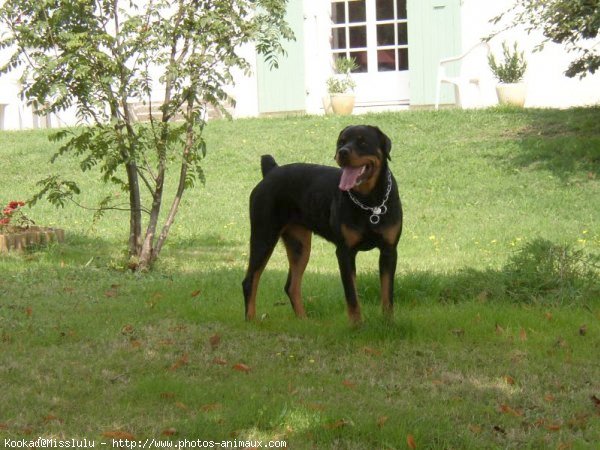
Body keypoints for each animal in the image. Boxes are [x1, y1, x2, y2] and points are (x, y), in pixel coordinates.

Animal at [240, 126, 404, 324]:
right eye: (341, 142)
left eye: (363, 141)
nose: (343, 152)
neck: (369, 201)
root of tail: (271, 171)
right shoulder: (345, 252)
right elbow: (351, 295)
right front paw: (357, 325)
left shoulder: (389, 250)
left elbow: (387, 294)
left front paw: (388, 323)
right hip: (263, 236)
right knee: (250, 280)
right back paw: (251, 320)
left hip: (299, 244)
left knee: (291, 285)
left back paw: (304, 320)